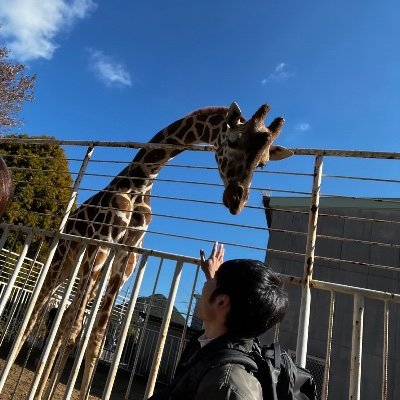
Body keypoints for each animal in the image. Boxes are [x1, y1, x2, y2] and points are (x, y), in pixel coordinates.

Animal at [11, 101, 290, 396]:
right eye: (233, 141)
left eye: (263, 163)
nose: (237, 200)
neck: (142, 180)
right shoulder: (101, 246)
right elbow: (75, 326)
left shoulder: (126, 259)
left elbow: (96, 337)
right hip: (64, 258)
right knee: (38, 311)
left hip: (83, 266)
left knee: (64, 318)